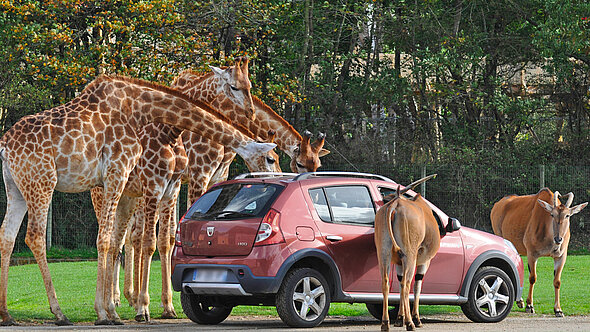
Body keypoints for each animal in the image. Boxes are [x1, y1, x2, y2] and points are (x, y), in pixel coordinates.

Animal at [0, 74, 278, 326]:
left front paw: (117, 311)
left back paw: (7, 314)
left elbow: (125, 241)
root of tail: (4, 147)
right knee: (35, 236)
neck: (141, 109)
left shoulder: (148, 185)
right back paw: (60, 313)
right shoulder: (123, 174)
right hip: (42, 182)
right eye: (270, 158)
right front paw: (113, 312)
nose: (251, 112)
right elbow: (114, 240)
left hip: (17, 188)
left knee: (7, 235)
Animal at [374, 175, 440, 330]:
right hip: (409, 256)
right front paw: (415, 318)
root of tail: (395, 205)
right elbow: (417, 285)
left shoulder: (398, 262)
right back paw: (410, 323)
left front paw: (399, 318)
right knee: (407, 283)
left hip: (384, 254)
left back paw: (385, 323)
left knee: (386, 282)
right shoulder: (424, 261)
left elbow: (398, 283)